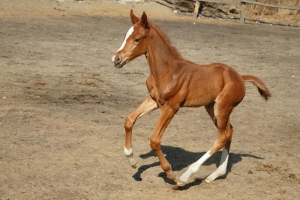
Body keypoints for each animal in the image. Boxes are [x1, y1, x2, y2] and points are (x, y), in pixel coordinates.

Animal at [111, 9, 270, 188]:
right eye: (125, 36)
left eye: (137, 39)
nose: (116, 59)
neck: (167, 71)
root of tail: (240, 78)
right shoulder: (154, 100)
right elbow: (129, 120)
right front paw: (132, 160)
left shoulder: (171, 107)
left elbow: (154, 140)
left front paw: (170, 172)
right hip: (212, 108)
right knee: (229, 132)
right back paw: (214, 175)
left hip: (222, 108)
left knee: (222, 137)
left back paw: (185, 177)